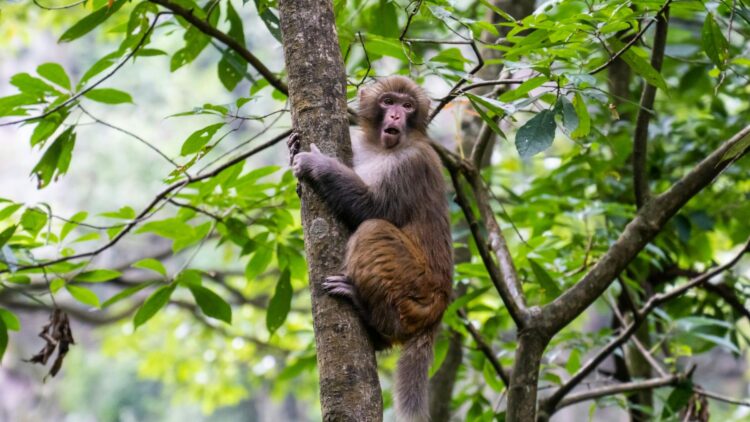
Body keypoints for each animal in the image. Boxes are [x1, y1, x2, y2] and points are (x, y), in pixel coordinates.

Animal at [290, 76, 453, 421]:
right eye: (388, 101)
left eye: (408, 106)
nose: (396, 116)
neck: (382, 147)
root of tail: (440, 308)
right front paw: (292, 149)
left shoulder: (411, 164)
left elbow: (372, 209)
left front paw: (317, 164)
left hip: (416, 289)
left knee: (373, 229)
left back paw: (373, 316)